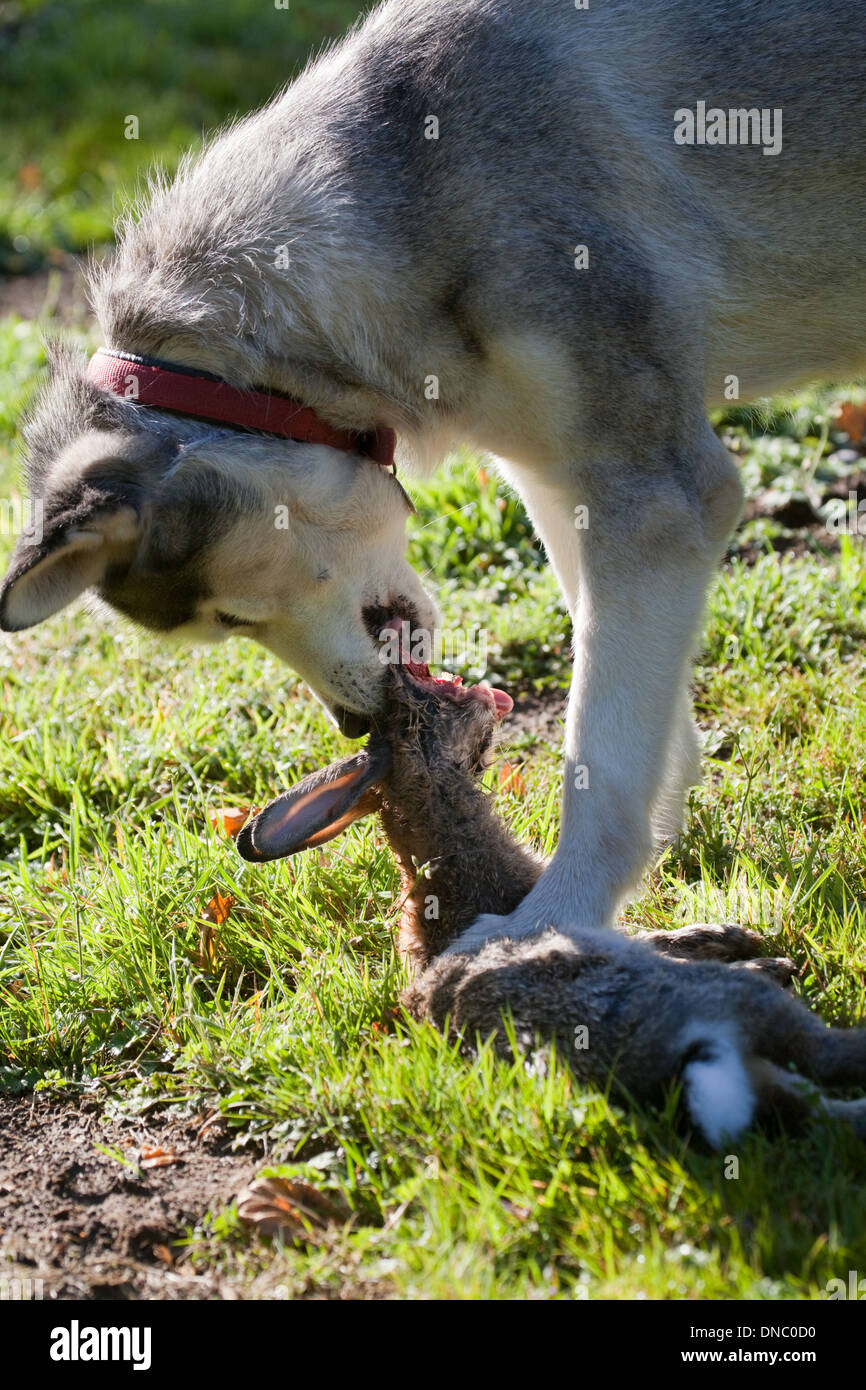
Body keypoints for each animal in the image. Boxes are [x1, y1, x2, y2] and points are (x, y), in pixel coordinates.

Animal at [1, 0, 866, 945]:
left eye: (233, 617)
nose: (354, 723)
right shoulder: (563, 486)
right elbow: (629, 708)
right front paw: (659, 840)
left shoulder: (660, 497)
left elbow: (598, 752)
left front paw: (555, 922)